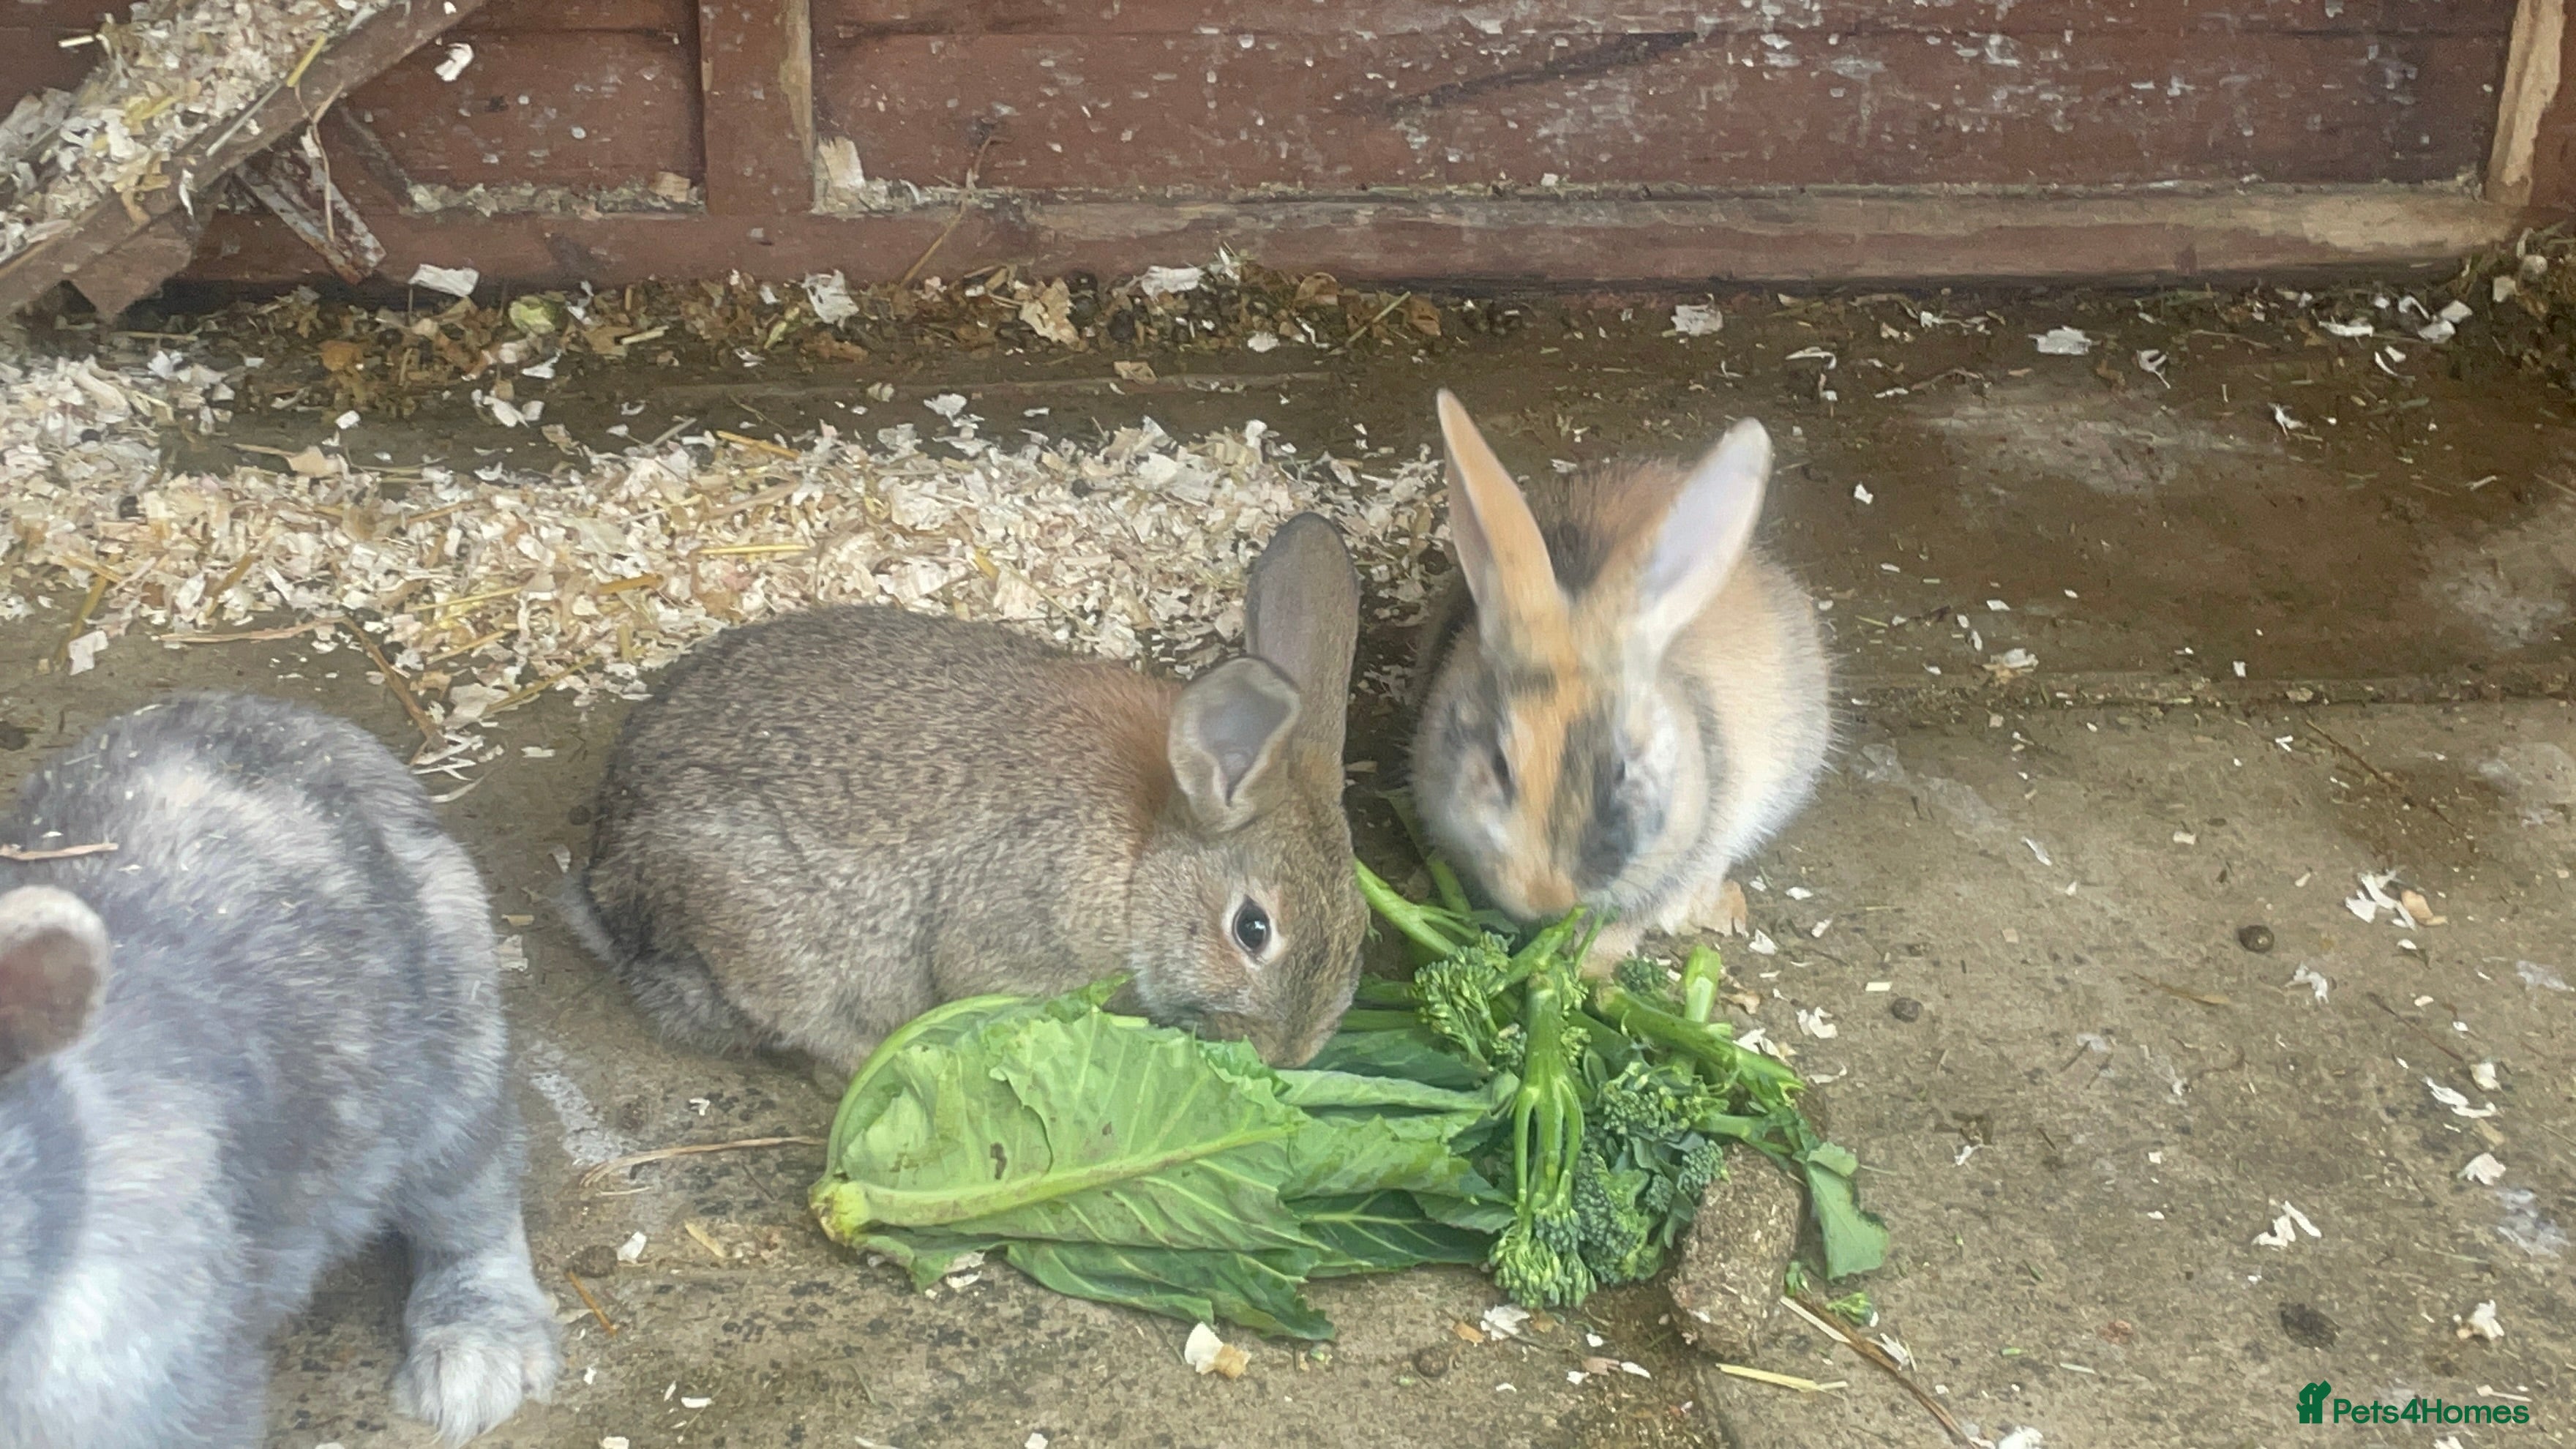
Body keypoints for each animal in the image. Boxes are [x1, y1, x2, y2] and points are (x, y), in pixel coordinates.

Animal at [565, 510, 1368, 1081]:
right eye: (1252, 931)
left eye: (1362, 932)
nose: (1285, 1055)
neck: (1145, 856)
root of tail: (608, 888)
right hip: (773, 946)